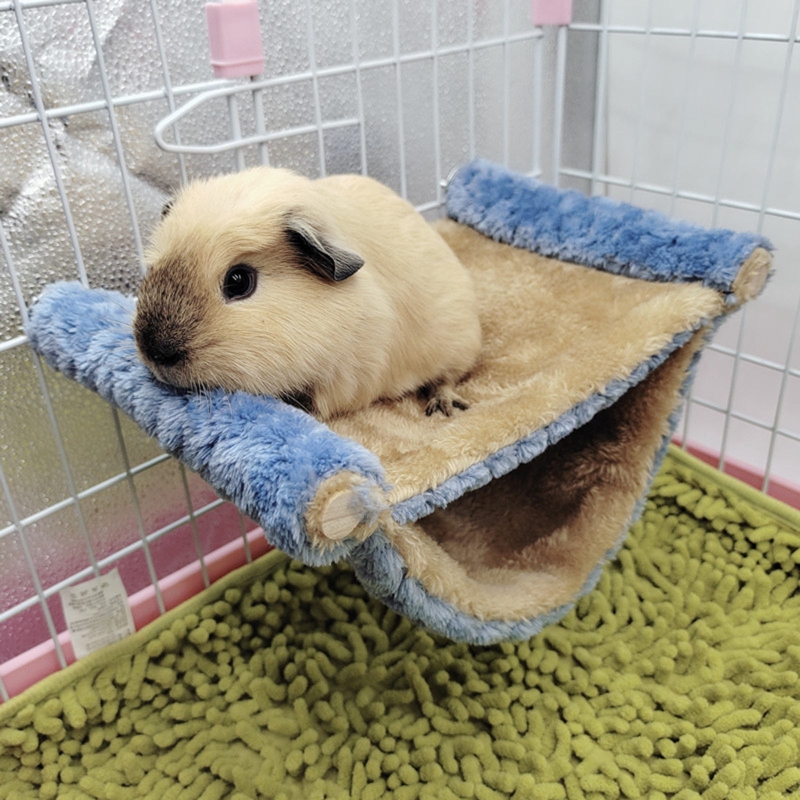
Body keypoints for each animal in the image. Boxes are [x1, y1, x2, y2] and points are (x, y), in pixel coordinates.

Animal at [133, 167, 482, 420]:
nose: (155, 353)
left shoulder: (346, 380)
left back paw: (445, 409)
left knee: (446, 379)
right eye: (154, 266)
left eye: (239, 282)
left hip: (460, 346)